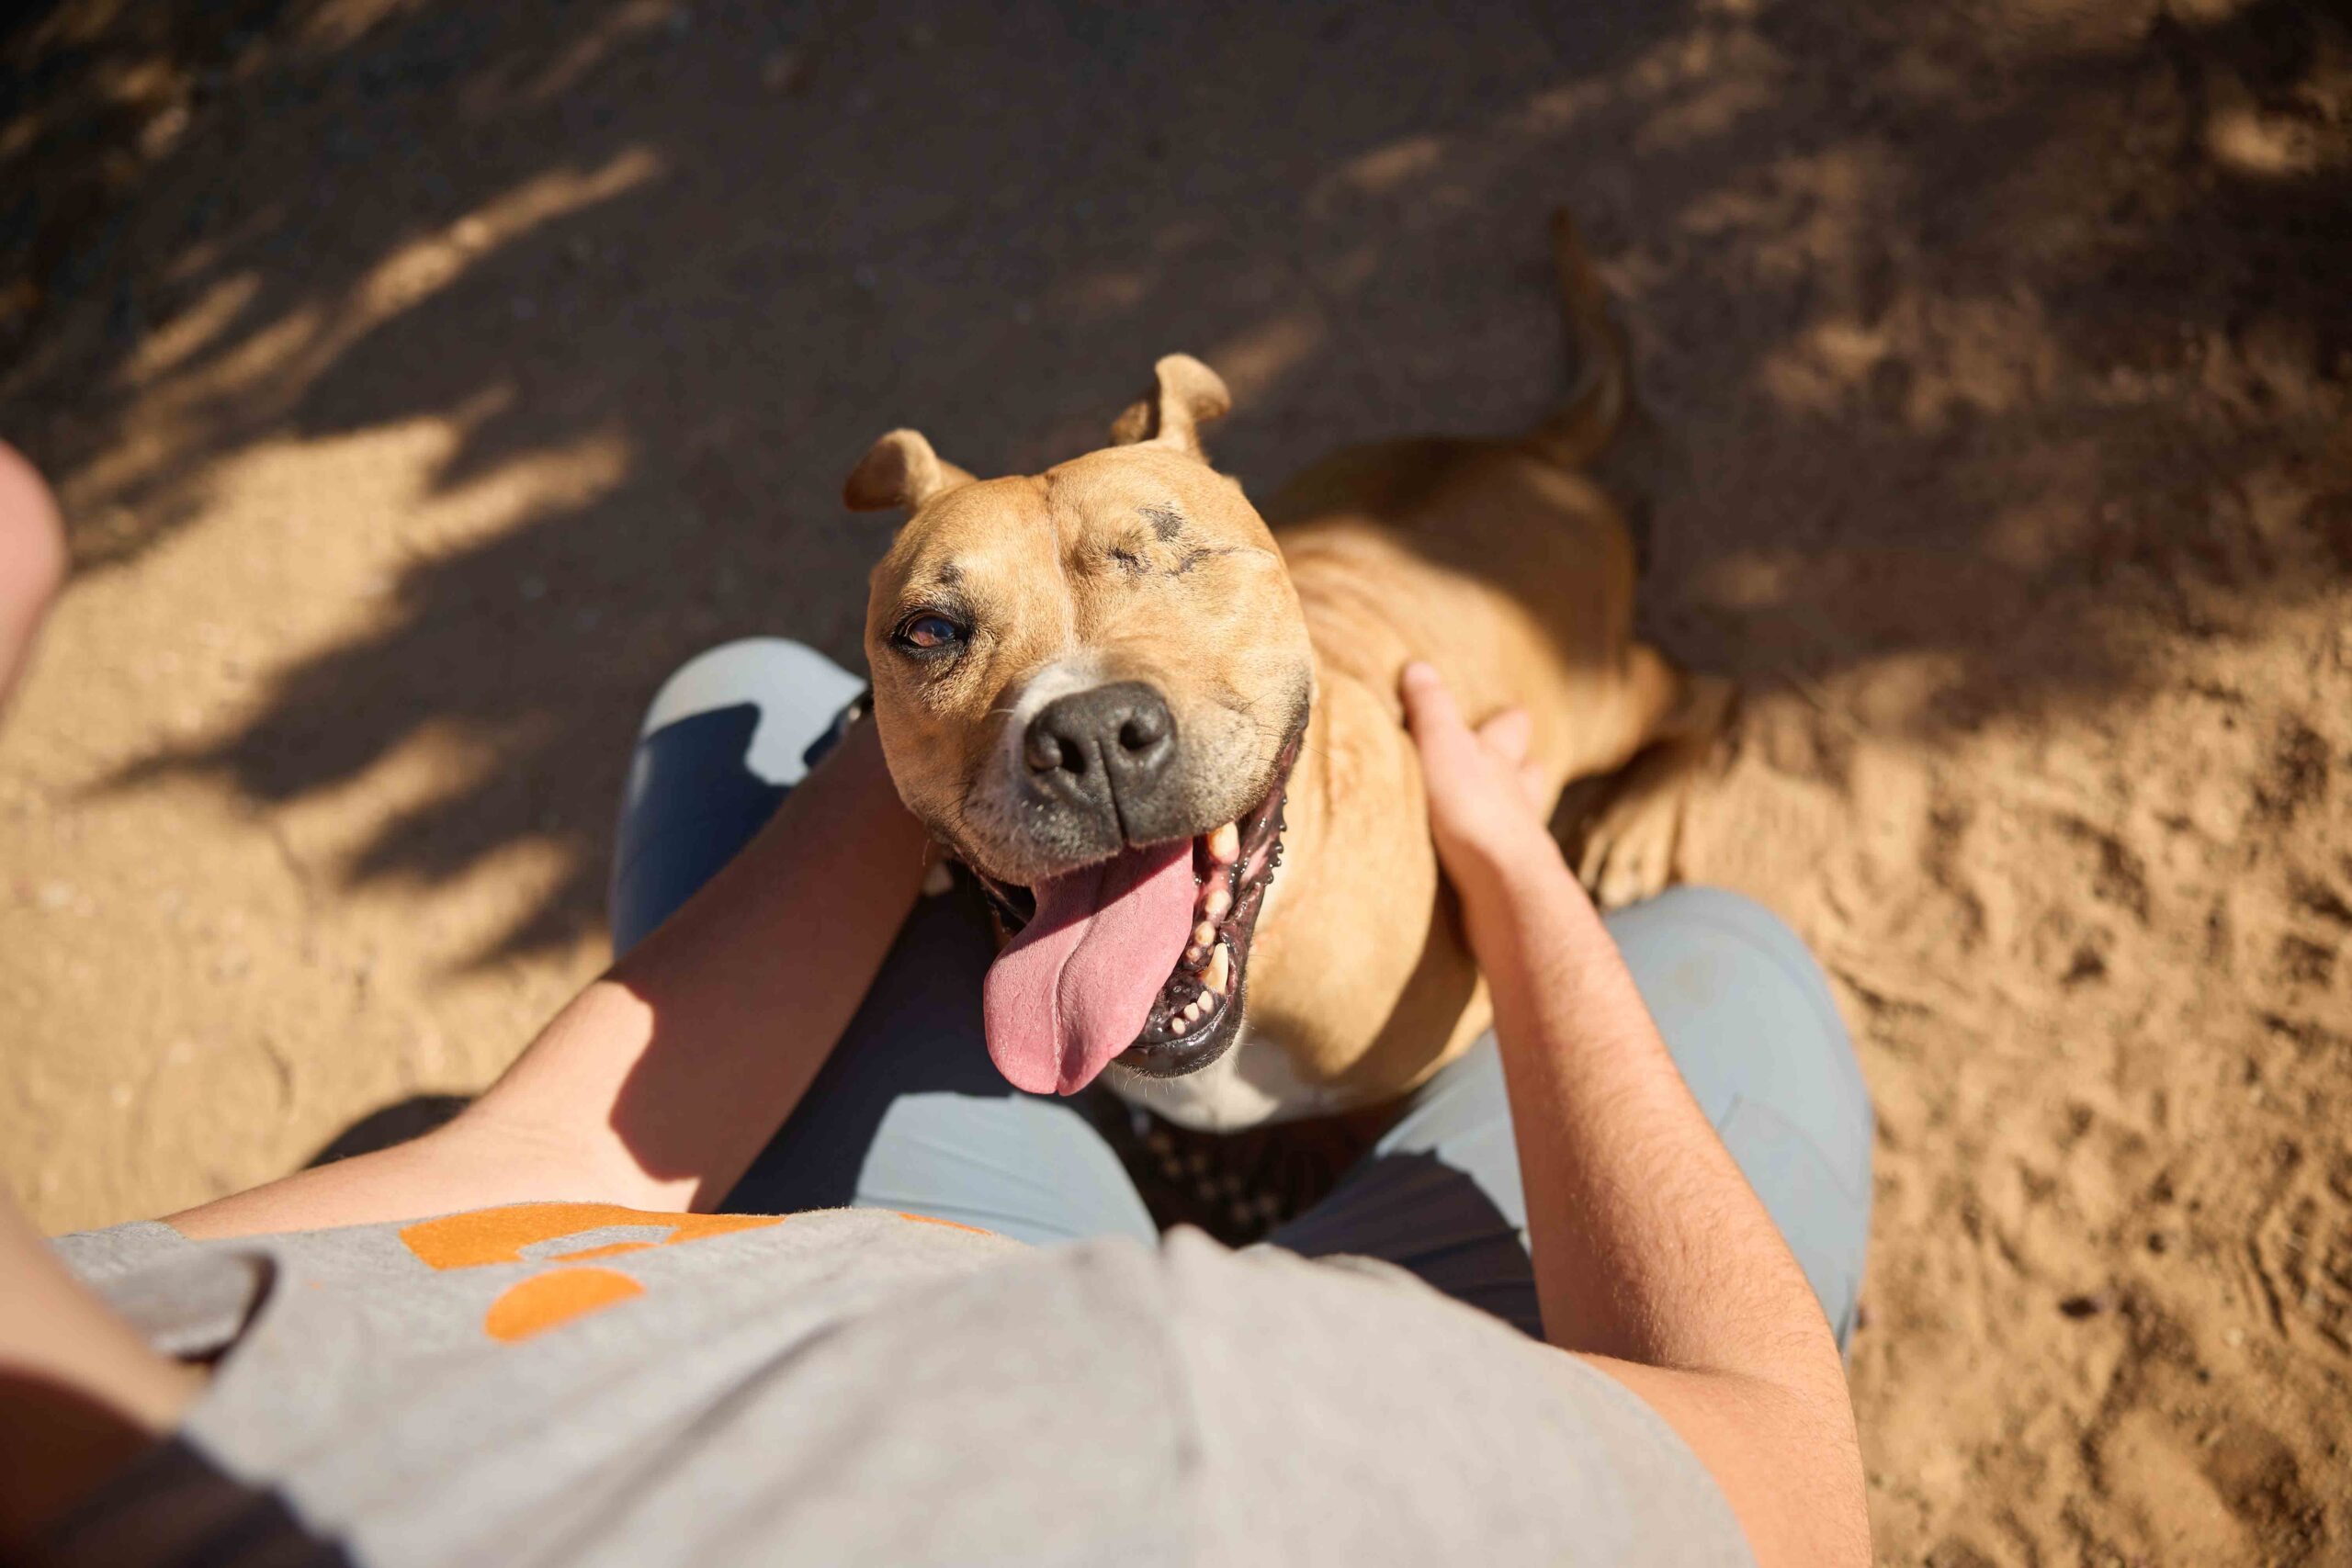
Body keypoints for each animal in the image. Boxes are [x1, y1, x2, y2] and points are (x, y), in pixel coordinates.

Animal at [851, 217, 1731, 1128]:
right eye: (928, 631)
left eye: (1189, 557)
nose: (1091, 736)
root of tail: (1521, 452)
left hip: (1595, 697)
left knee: (1702, 690)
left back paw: (1631, 828)